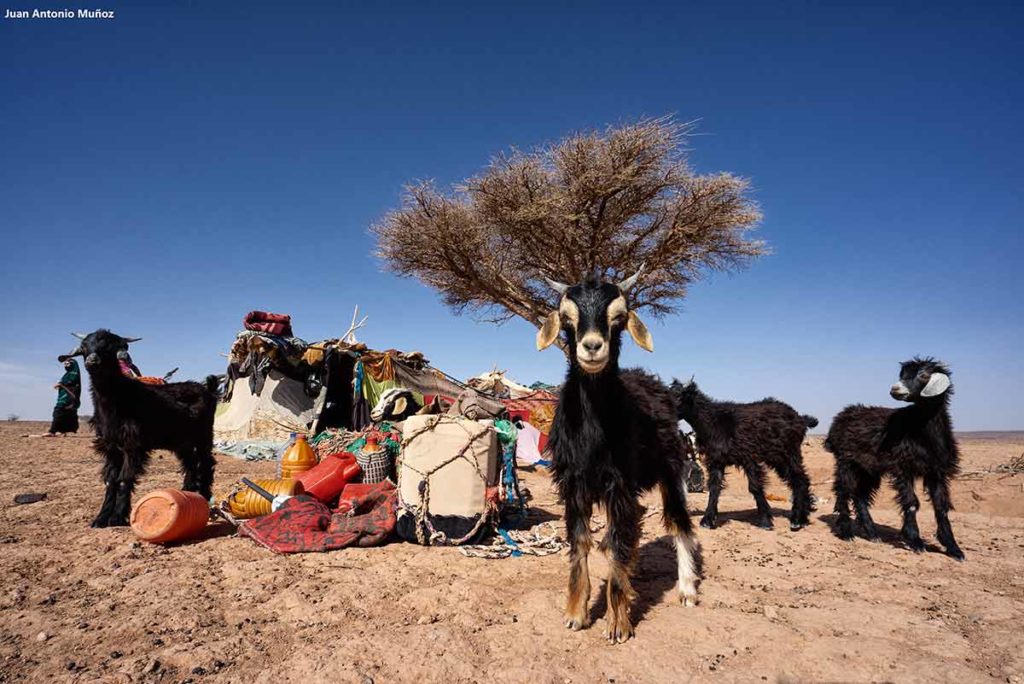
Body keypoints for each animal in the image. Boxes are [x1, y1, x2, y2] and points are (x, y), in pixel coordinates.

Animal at [59, 331, 218, 528]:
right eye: (84, 347)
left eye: (109, 347)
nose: (92, 361)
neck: (118, 397)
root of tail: (209, 390)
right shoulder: (111, 447)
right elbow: (110, 481)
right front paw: (101, 518)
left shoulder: (132, 445)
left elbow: (123, 479)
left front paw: (117, 517)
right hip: (182, 442)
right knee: (190, 465)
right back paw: (187, 493)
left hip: (203, 436)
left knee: (205, 463)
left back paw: (204, 497)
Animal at [536, 270, 696, 643]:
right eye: (567, 318)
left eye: (619, 318)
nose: (593, 347)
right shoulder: (573, 484)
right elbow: (581, 542)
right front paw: (576, 613)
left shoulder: (620, 485)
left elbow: (618, 541)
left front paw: (619, 623)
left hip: (673, 469)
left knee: (679, 522)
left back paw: (687, 589)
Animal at [671, 378, 815, 532]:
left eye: (678, 397)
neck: (715, 422)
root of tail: (800, 418)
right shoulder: (717, 461)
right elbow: (714, 487)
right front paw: (707, 520)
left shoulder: (748, 457)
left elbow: (755, 487)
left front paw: (765, 521)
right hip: (778, 459)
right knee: (799, 480)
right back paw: (803, 517)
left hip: (790, 453)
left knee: (799, 480)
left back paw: (797, 520)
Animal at [819, 358, 962, 561]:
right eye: (902, 375)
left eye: (923, 375)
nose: (895, 389)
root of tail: (840, 417)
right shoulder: (903, 467)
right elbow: (911, 503)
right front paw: (915, 541)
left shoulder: (936, 471)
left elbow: (941, 507)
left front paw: (953, 548)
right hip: (847, 461)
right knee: (844, 491)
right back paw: (847, 532)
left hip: (868, 467)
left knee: (860, 496)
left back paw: (872, 533)